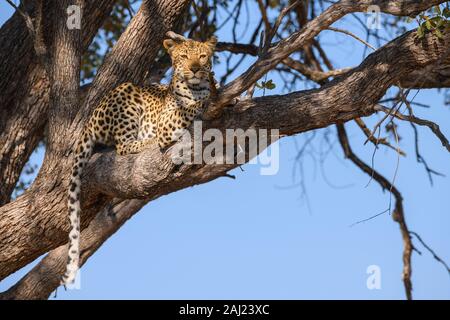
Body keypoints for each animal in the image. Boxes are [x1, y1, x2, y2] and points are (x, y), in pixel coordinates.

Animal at [62, 33, 218, 286]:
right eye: (184, 56)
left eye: (202, 56)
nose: (194, 69)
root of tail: (89, 121)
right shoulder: (167, 121)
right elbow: (188, 108)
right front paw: (206, 99)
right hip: (127, 94)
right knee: (123, 145)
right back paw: (150, 141)